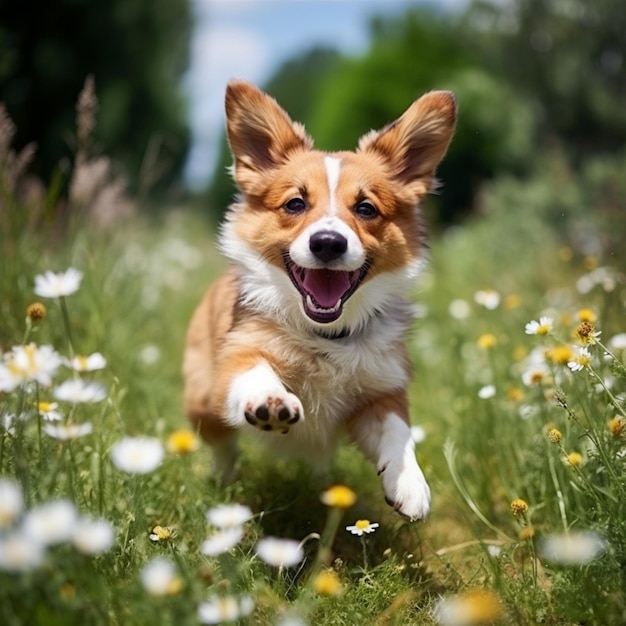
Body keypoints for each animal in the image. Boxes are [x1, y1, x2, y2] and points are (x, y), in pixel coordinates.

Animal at [180, 80, 454, 520]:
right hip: (202, 400)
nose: (328, 242)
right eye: (295, 203)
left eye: (366, 208)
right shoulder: (235, 359)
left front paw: (410, 484)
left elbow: (399, 429)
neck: (325, 336)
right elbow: (254, 371)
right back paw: (223, 481)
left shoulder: (381, 389)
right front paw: (272, 400)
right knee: (221, 443)